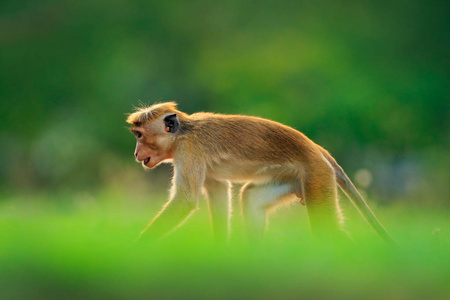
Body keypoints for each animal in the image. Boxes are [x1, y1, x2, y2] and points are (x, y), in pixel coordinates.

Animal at [125, 102, 394, 245]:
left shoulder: (189, 151)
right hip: (293, 178)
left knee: (328, 231)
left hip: (316, 175)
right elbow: (218, 191)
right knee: (251, 198)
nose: (136, 153)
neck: (183, 132)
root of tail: (318, 150)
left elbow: (186, 200)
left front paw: (136, 246)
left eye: (139, 135)